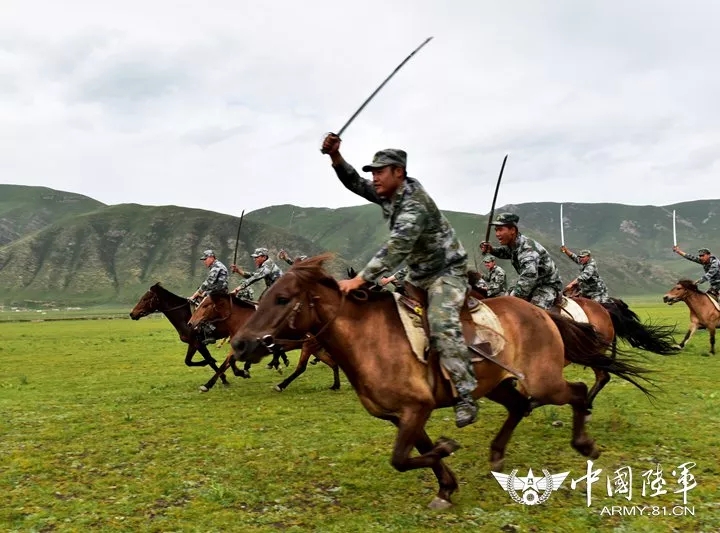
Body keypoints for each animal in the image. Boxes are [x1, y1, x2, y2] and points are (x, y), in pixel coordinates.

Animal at [187, 290, 342, 390]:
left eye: (205, 306)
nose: (191, 323)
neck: (243, 320)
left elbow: (231, 362)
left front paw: (243, 372)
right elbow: (225, 364)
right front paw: (207, 385)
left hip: (308, 346)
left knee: (301, 368)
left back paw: (281, 385)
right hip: (316, 348)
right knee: (333, 363)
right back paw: (335, 385)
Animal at [229, 256, 652, 510]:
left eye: (282, 298)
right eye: (265, 294)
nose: (240, 344)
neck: (369, 339)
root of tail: (543, 313)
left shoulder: (416, 408)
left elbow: (402, 459)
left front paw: (448, 452)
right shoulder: (401, 415)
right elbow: (417, 452)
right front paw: (446, 486)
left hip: (542, 380)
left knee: (576, 392)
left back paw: (585, 444)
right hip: (497, 385)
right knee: (519, 406)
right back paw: (497, 454)